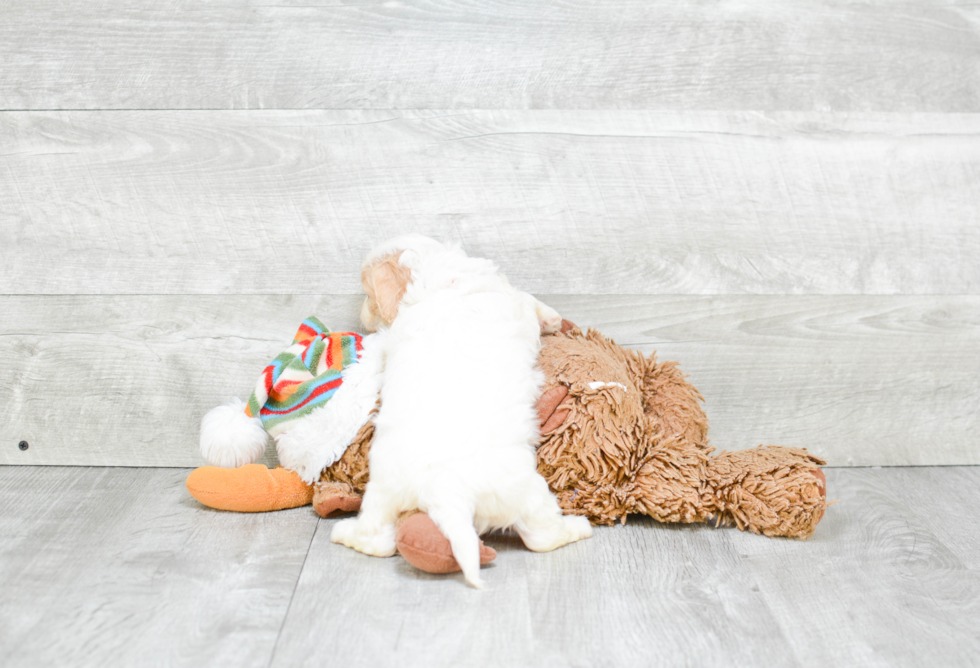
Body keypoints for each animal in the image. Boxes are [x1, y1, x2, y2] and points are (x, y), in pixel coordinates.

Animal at [332, 236, 588, 588]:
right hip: (526, 493)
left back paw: (343, 533)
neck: (443, 281)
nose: (361, 316)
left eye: (368, 295)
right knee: (542, 536)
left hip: (382, 495)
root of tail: (443, 493)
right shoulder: (513, 299)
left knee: (375, 540)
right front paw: (553, 320)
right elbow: (531, 302)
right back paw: (578, 527)